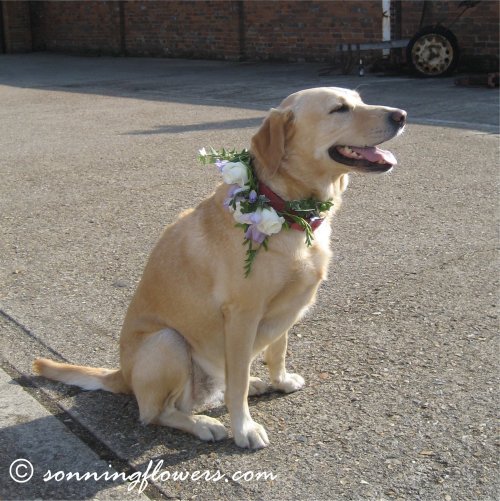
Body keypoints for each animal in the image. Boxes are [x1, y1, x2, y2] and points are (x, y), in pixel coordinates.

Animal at [34, 87, 406, 449]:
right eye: (339, 108)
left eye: (359, 99)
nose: (401, 115)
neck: (287, 210)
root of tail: (121, 375)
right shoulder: (242, 315)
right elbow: (236, 385)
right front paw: (244, 428)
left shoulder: (286, 308)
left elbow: (277, 351)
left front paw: (280, 380)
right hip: (168, 341)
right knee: (156, 413)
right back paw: (203, 424)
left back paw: (251, 386)